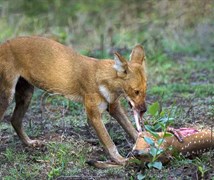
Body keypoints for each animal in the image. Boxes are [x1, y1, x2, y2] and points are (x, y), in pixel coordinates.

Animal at [0, 36, 146, 165]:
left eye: (145, 90)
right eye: (135, 91)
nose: (144, 109)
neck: (105, 80)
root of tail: (3, 45)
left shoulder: (114, 107)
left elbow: (131, 129)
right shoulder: (93, 116)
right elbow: (109, 142)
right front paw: (120, 160)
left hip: (27, 94)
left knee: (15, 120)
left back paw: (30, 143)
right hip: (7, 95)